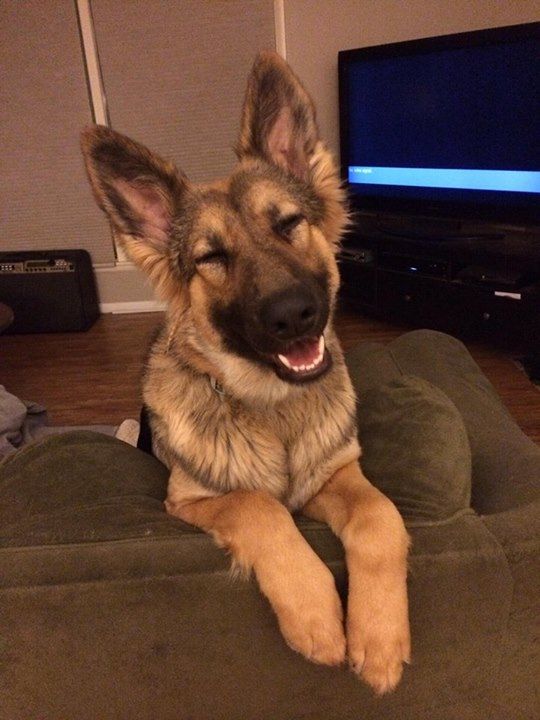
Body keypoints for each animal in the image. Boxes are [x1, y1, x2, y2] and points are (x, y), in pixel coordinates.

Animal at [80, 52, 410, 696]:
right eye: (212, 258)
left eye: (288, 224)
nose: (293, 314)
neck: (272, 406)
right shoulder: (190, 501)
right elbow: (260, 508)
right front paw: (316, 616)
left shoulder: (337, 477)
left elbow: (381, 519)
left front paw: (380, 639)